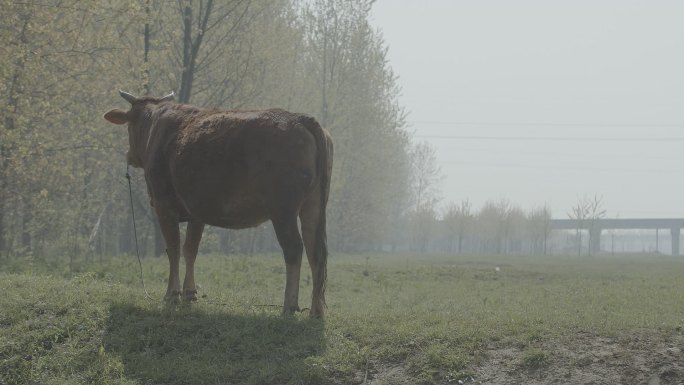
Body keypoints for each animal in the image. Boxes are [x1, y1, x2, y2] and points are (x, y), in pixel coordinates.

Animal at [102, 91, 334, 316]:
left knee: (294, 248)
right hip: (313, 204)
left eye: (129, 124)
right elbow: (190, 249)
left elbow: (174, 248)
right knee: (315, 250)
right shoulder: (197, 210)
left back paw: (289, 307)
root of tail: (300, 118)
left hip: (283, 209)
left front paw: (171, 295)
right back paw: (316, 311)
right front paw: (189, 293)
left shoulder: (163, 205)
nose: (129, 155)